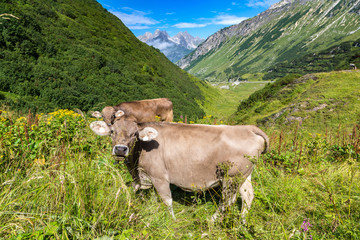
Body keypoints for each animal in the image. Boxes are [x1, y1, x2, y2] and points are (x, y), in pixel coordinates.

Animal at [89, 115, 268, 222]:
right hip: (244, 175)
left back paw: (211, 221)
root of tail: (247, 128)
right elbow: (146, 194)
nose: (120, 149)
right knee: (248, 196)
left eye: (135, 134)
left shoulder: (159, 176)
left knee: (227, 201)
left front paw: (172, 220)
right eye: (112, 131)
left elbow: (167, 200)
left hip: (231, 177)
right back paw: (242, 222)